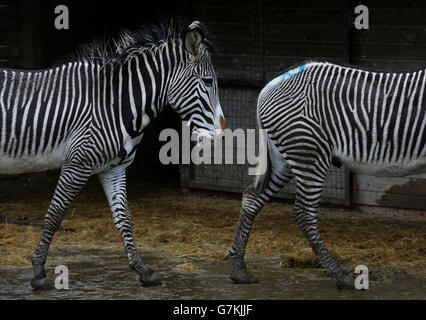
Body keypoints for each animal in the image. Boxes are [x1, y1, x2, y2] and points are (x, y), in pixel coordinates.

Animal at [0, 20, 226, 290]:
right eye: (208, 82)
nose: (222, 135)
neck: (113, 104)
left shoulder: (113, 168)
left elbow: (124, 219)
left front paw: (143, 270)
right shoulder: (78, 164)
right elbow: (55, 215)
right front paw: (38, 270)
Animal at [231, 61, 424, 288]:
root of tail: (271, 84)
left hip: (283, 157)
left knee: (252, 197)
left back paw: (239, 268)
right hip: (309, 153)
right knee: (304, 213)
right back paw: (339, 274)